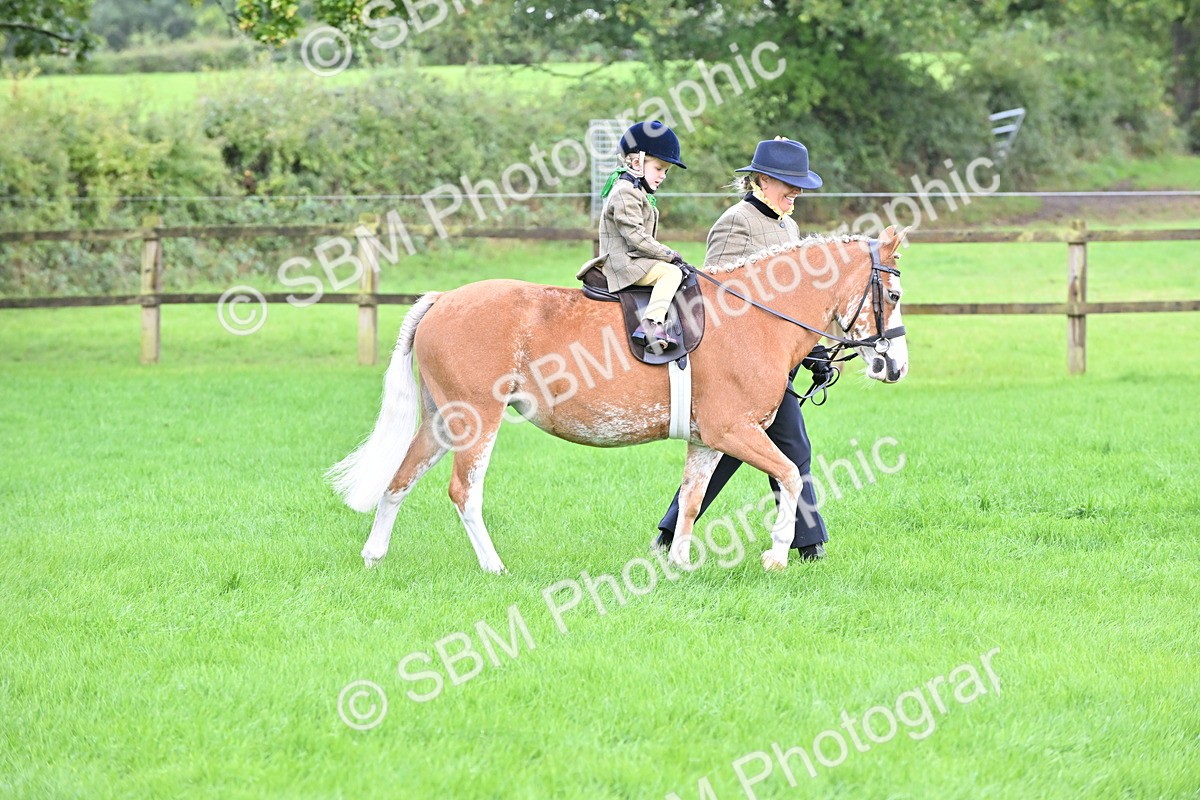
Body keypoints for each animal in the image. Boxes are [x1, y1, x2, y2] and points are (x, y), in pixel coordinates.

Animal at [327, 225, 910, 573]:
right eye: (895, 294)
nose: (896, 366)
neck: (754, 315)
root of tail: (444, 298)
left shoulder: (709, 440)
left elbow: (693, 498)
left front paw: (679, 563)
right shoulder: (735, 431)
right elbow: (789, 474)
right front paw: (777, 554)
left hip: (441, 421)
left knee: (400, 479)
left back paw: (374, 554)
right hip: (476, 422)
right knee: (463, 492)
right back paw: (494, 566)